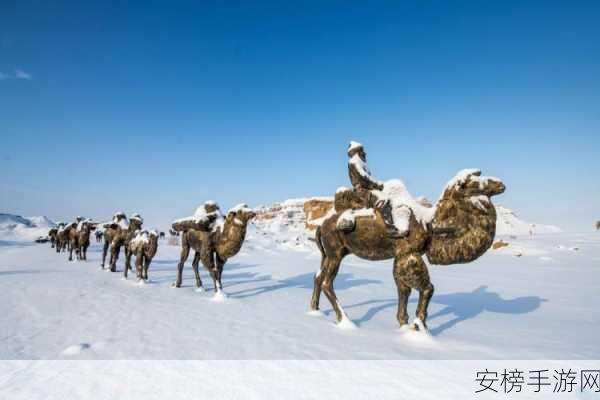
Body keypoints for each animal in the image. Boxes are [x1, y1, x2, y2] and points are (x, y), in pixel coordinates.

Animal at [312, 170, 504, 332]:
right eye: (473, 182)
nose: (500, 184)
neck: (429, 223)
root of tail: (321, 226)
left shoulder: (400, 257)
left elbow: (404, 289)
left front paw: (404, 324)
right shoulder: (408, 254)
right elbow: (427, 288)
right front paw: (419, 326)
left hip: (330, 254)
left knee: (318, 277)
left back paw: (315, 309)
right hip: (335, 253)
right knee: (327, 282)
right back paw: (345, 320)